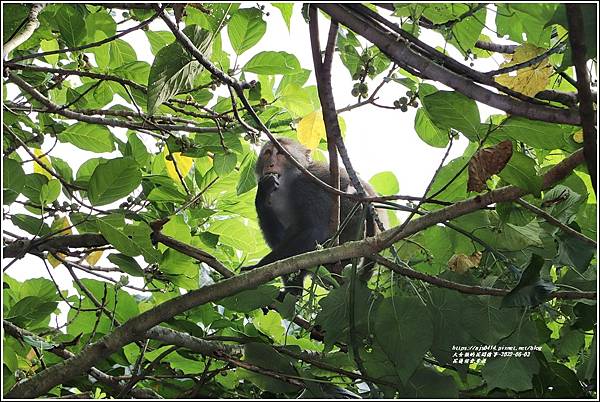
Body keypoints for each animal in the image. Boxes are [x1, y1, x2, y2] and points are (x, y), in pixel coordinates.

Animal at [245, 138, 382, 298]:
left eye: (280, 153)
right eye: (267, 153)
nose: (270, 164)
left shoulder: (307, 185)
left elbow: (315, 230)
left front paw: (258, 266)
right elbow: (279, 239)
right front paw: (262, 193)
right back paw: (294, 292)